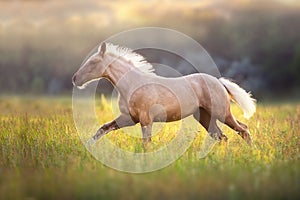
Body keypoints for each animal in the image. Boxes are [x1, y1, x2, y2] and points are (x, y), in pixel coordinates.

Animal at [72, 42, 255, 147]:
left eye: (94, 62)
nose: (75, 79)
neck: (132, 84)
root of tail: (219, 82)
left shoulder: (146, 120)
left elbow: (146, 143)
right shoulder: (129, 118)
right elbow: (103, 129)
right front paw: (87, 147)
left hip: (221, 112)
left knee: (243, 130)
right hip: (204, 116)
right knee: (222, 137)